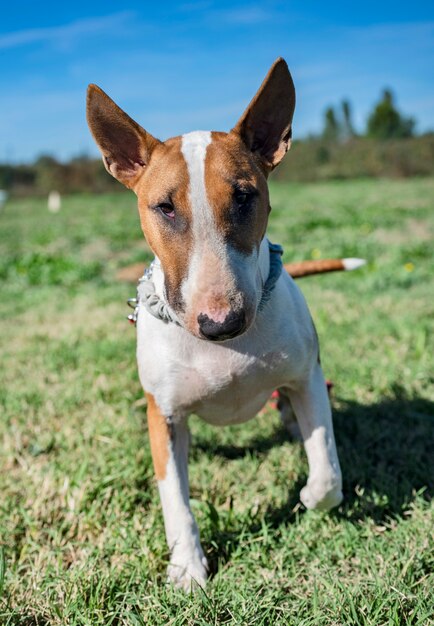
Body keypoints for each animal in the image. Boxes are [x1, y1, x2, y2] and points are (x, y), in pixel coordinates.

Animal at [87, 58, 350, 588]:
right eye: (164, 207)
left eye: (246, 196)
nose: (221, 322)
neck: (224, 350)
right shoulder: (165, 418)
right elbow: (175, 499)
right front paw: (188, 568)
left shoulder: (305, 377)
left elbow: (328, 470)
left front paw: (310, 496)